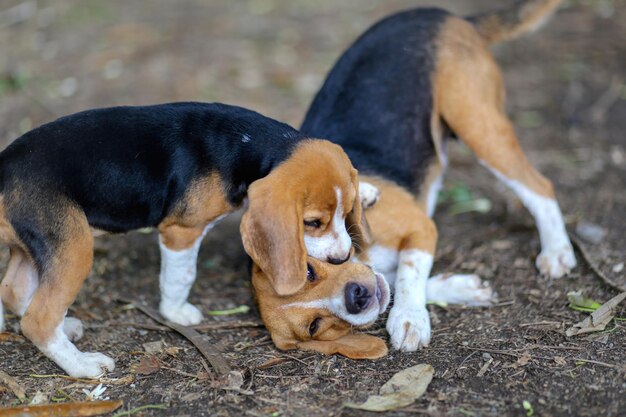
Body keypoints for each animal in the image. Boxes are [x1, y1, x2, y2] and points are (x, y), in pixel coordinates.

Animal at [0, 101, 366, 376]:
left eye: (348, 211)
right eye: (312, 222)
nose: (341, 258)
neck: (245, 143)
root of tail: (4, 168)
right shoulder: (182, 230)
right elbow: (181, 276)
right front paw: (175, 312)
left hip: (33, 248)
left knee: (15, 292)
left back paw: (66, 327)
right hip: (74, 247)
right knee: (38, 320)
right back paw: (82, 365)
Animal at [251, 0, 572, 358]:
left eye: (309, 271)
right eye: (315, 326)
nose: (354, 298)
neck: (363, 255)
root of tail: (448, 16)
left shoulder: (421, 227)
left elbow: (410, 271)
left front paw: (409, 318)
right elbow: (406, 279)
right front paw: (462, 288)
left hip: (477, 124)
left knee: (539, 186)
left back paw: (557, 250)